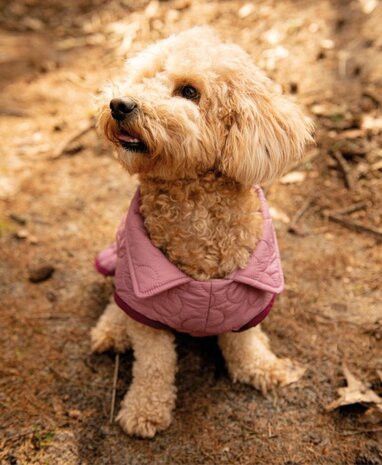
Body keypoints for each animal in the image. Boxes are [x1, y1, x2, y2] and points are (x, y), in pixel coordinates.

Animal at [90, 27, 314, 436]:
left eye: (189, 91)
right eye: (144, 78)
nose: (119, 104)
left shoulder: (249, 299)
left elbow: (246, 342)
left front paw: (260, 368)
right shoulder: (146, 309)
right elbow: (154, 363)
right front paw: (144, 410)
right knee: (117, 304)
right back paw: (112, 330)